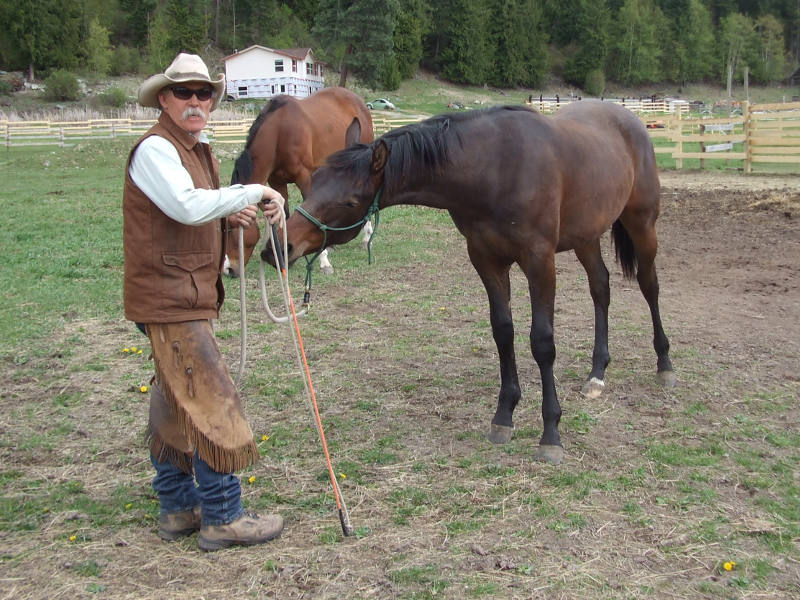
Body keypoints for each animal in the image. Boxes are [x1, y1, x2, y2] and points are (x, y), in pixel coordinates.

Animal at [225, 86, 376, 276]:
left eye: (231, 229)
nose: (228, 270)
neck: (279, 132)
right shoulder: (277, 183)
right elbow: (285, 216)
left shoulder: (305, 177)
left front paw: (324, 262)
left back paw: (366, 237)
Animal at [268, 101, 676, 464]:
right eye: (311, 186)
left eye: (350, 202)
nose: (279, 249)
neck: (495, 168)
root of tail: (631, 120)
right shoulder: (486, 260)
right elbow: (503, 332)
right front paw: (504, 416)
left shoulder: (539, 261)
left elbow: (542, 342)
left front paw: (550, 434)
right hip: (586, 236)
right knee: (600, 288)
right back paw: (597, 373)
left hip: (642, 224)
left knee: (649, 285)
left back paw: (665, 364)